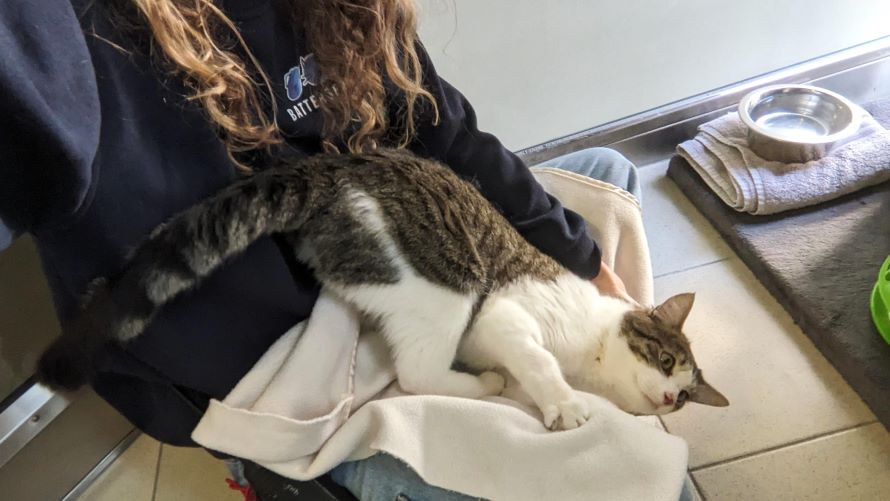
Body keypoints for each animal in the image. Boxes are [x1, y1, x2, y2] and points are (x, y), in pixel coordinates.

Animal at [37, 148, 728, 430]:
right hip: (449, 284)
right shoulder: (503, 314)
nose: (672, 398)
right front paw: (562, 403)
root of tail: (332, 171)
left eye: (687, 400)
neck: (591, 351)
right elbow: (535, 358)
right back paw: (487, 384)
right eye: (668, 360)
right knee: (418, 373)